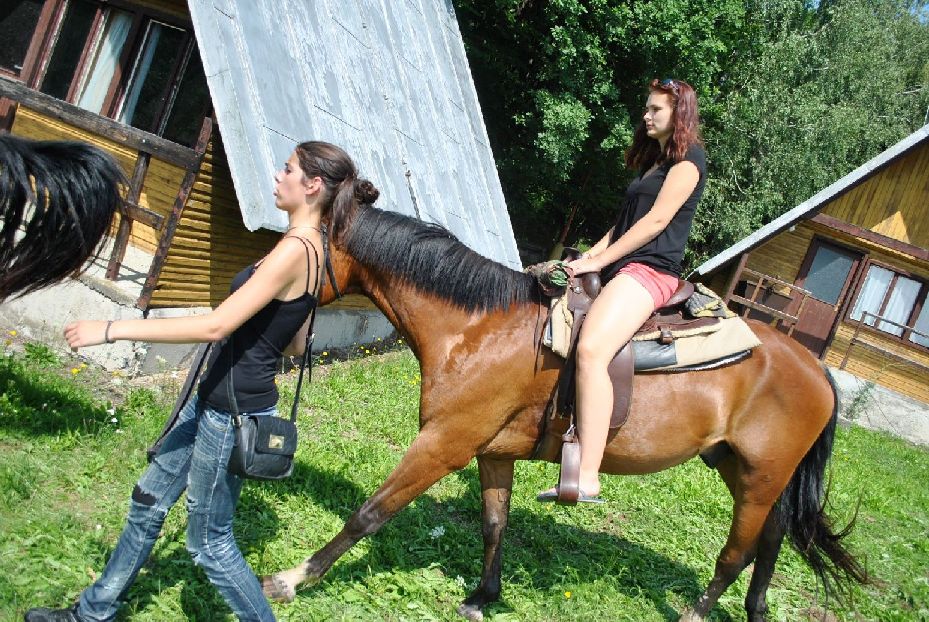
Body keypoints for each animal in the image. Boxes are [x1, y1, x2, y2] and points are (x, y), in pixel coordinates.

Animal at [262, 205, 868, 621]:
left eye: (296, 248)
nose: (264, 297)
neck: (480, 329)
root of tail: (815, 368)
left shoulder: (443, 443)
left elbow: (370, 513)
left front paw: (292, 579)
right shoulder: (492, 451)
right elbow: (494, 523)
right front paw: (483, 596)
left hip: (762, 474)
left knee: (737, 552)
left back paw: (698, 611)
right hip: (740, 468)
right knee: (771, 539)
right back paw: (756, 610)